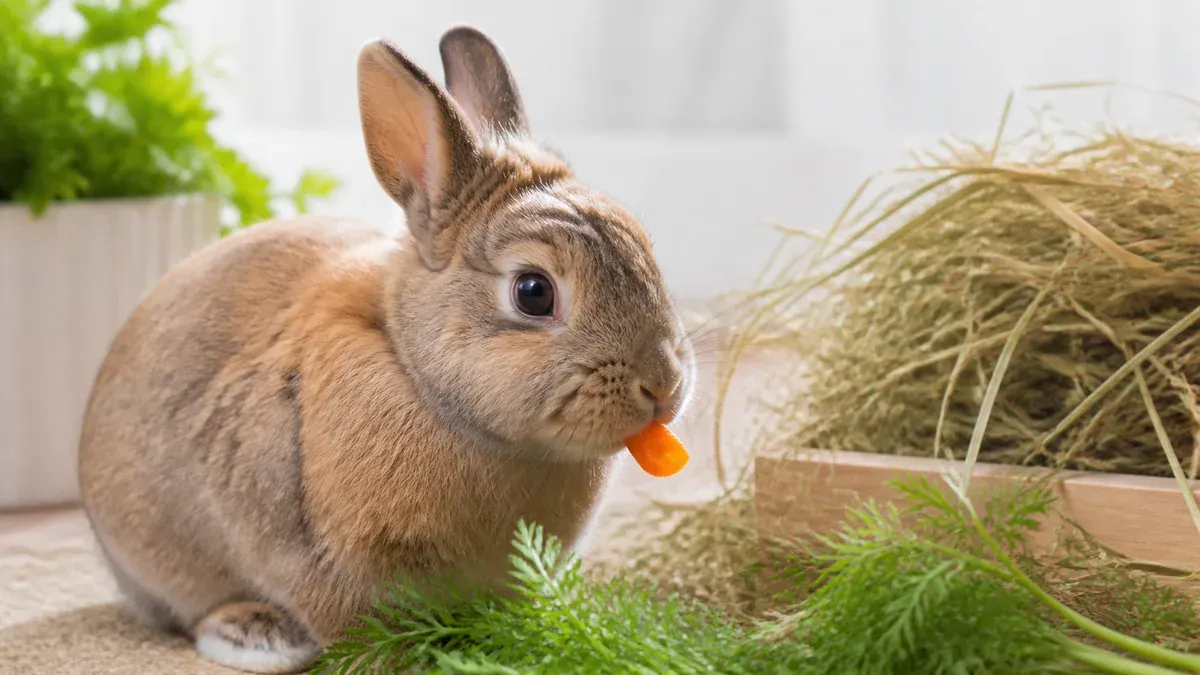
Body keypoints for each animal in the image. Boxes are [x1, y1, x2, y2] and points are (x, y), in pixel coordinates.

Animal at [77, 26, 695, 674]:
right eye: (533, 292)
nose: (665, 385)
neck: (414, 371)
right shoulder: (312, 560)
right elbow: (351, 628)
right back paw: (258, 635)